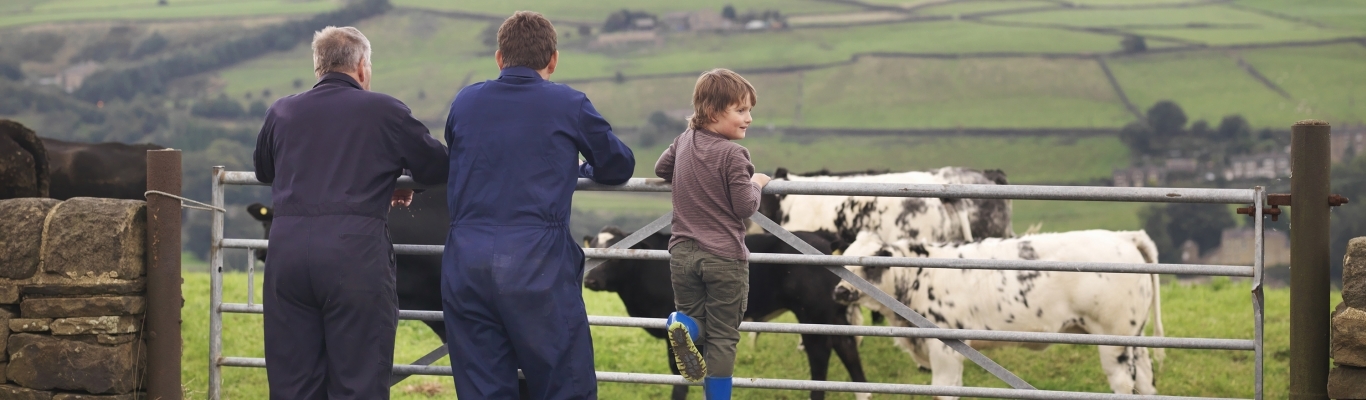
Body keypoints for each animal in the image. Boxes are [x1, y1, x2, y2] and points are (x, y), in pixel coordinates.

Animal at [584, 227, 863, 398]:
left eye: (617, 255)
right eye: (594, 249)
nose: (590, 280)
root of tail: (822, 240)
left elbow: (677, 369)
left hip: (812, 315)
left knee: (820, 355)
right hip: (831, 314)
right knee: (847, 346)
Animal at [830, 229, 1163, 395]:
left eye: (871, 262)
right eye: (845, 256)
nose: (840, 292)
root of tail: (1124, 235)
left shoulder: (945, 350)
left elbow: (945, 389)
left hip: (1114, 339)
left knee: (1124, 383)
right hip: (1136, 337)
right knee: (1147, 381)